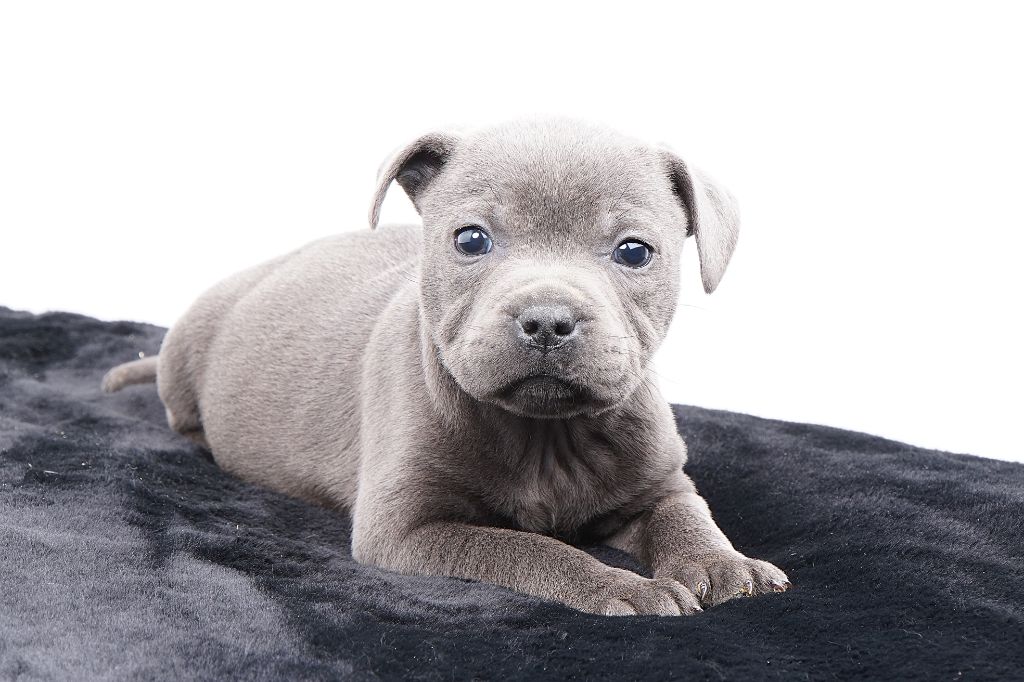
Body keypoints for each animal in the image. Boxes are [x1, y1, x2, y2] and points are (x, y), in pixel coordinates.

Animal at [103, 118, 790, 615]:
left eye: (634, 251)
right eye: (470, 239)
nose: (547, 320)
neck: (544, 434)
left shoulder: (658, 483)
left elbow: (686, 515)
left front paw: (725, 565)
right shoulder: (407, 527)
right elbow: (527, 548)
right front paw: (623, 587)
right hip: (187, 349)